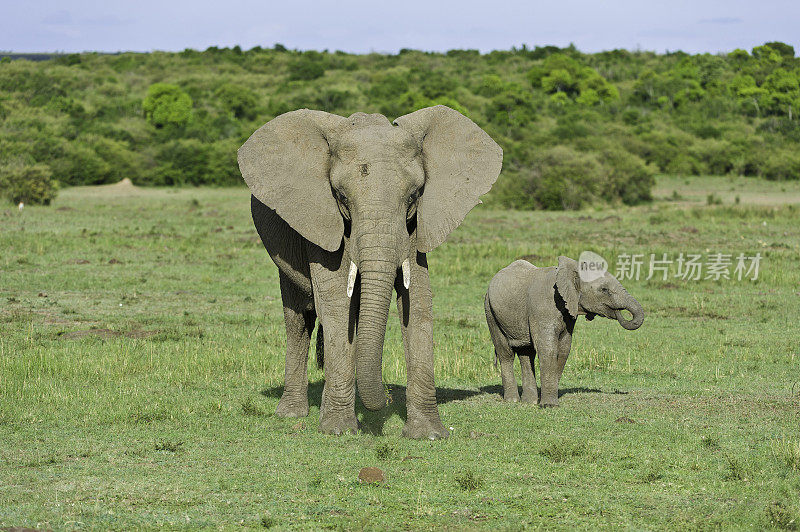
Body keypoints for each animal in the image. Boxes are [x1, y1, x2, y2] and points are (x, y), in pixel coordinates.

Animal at [238, 106, 504, 438]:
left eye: (414, 196)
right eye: (340, 196)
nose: (389, 397)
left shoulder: (415, 226)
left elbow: (418, 302)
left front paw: (428, 434)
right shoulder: (320, 218)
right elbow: (338, 304)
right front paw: (338, 430)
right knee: (299, 318)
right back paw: (292, 413)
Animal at [482, 256, 644, 406]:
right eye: (604, 290)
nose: (619, 312)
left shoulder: (568, 313)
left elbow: (564, 349)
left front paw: (547, 401)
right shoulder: (543, 308)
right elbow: (548, 349)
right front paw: (549, 405)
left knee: (526, 353)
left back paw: (529, 402)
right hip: (490, 311)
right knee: (505, 353)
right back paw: (512, 400)